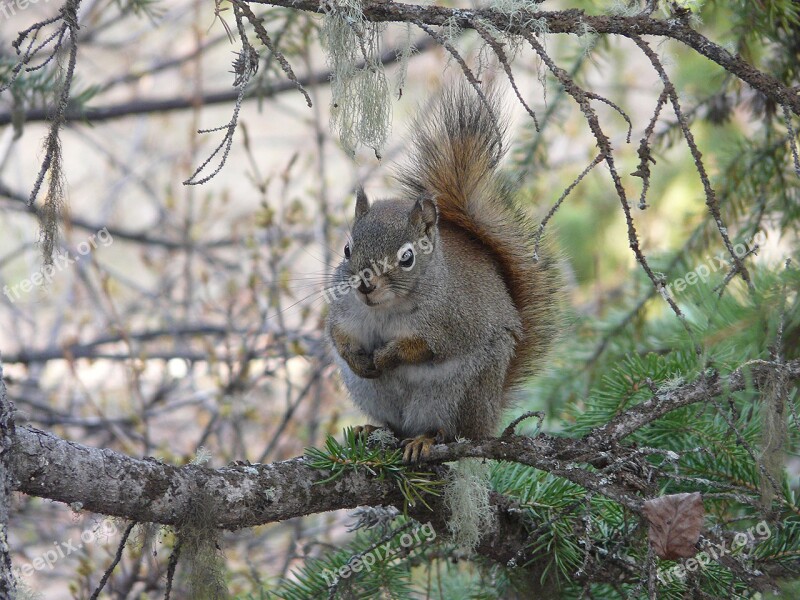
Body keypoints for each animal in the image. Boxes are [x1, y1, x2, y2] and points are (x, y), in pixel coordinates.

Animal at [322, 84, 560, 462]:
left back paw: (425, 440)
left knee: (451, 432)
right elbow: (338, 336)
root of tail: (490, 417)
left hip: (460, 395)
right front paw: (357, 358)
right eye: (347, 250)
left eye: (407, 258)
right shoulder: (344, 312)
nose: (365, 285)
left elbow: (426, 347)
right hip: (372, 396)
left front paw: (388, 356)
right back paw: (369, 429)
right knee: (392, 426)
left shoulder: (455, 320)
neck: (385, 310)